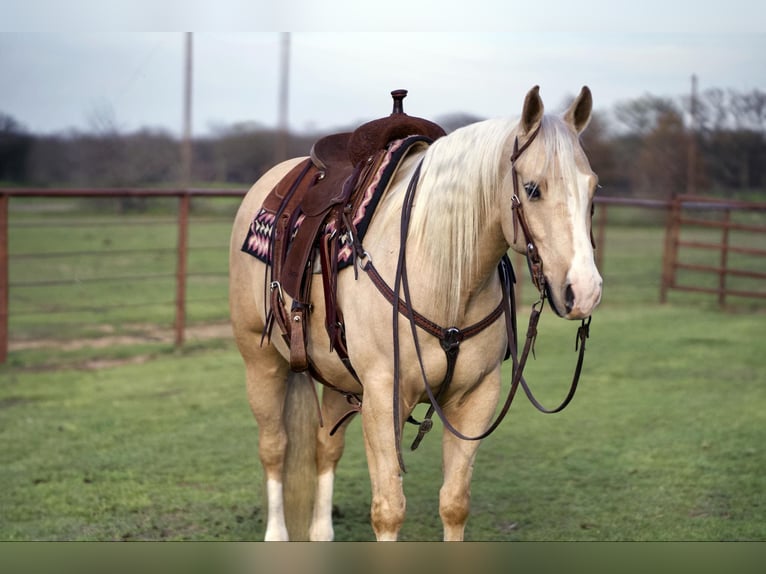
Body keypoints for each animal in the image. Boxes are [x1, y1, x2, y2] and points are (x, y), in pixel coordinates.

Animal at [231, 86, 604, 544]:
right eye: (533, 188)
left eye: (593, 188)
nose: (584, 291)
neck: (445, 278)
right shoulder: (382, 397)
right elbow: (389, 510)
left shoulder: (477, 396)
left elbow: (455, 504)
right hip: (260, 361)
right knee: (274, 447)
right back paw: (276, 533)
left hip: (339, 378)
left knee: (325, 447)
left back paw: (321, 532)